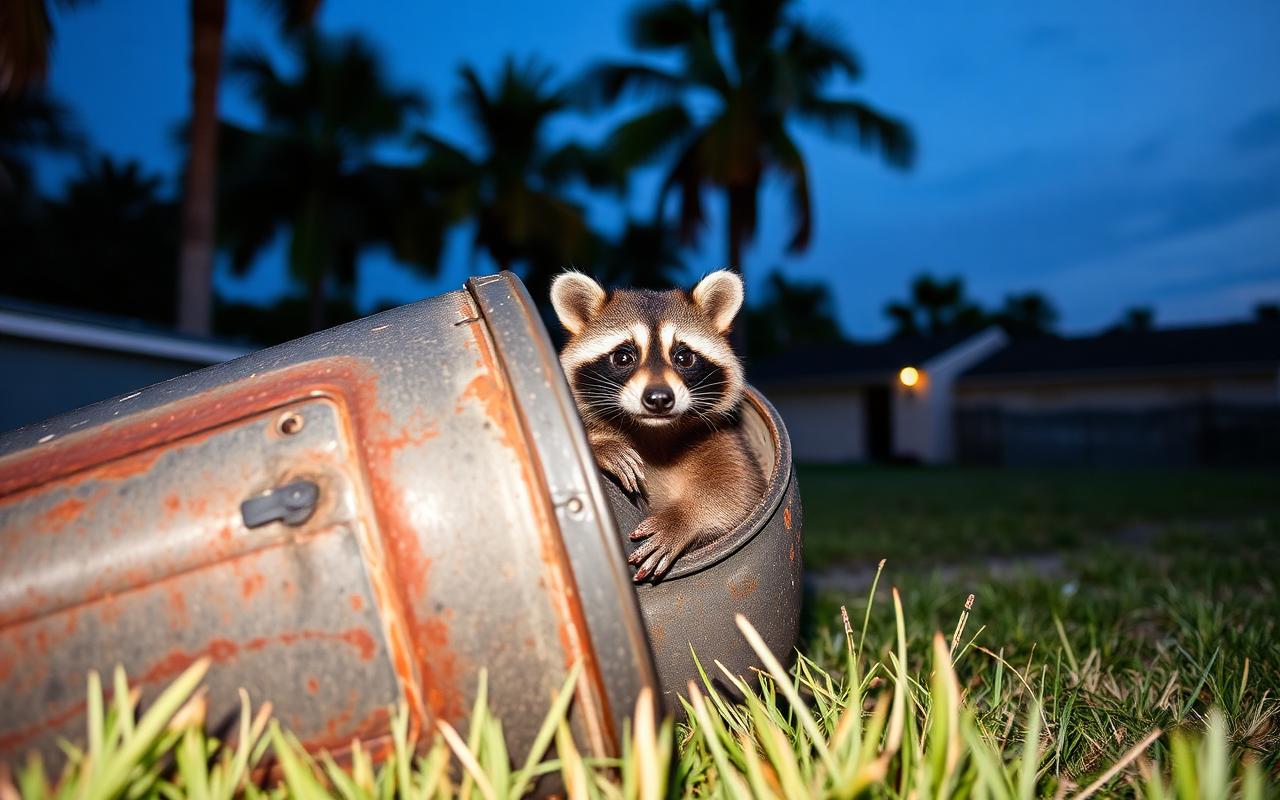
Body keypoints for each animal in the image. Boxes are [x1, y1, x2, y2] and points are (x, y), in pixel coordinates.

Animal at [550, 269, 766, 581]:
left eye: (683, 357)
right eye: (623, 357)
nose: (660, 399)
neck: (654, 431)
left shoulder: (725, 441)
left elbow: (739, 492)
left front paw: (683, 518)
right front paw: (601, 443)